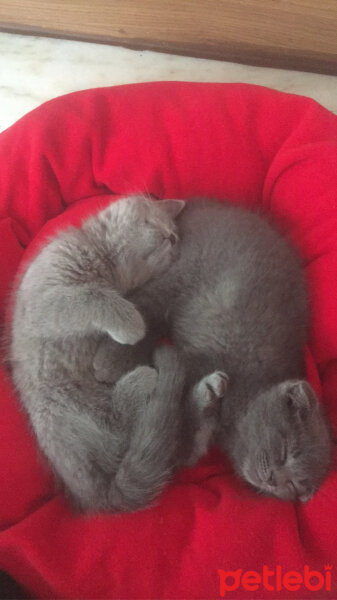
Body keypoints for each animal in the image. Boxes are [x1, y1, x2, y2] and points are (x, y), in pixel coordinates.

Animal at [11, 196, 218, 510]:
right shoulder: (45, 300)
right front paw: (132, 324)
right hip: (60, 404)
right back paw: (147, 377)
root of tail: (93, 495)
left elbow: (95, 295)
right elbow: (90, 296)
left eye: (174, 234)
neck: (101, 262)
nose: (171, 237)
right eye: (153, 221)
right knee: (121, 428)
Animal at [94, 198, 330, 502]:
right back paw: (110, 360)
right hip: (182, 271)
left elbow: (182, 448)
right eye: (284, 450)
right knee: (146, 308)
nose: (273, 481)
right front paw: (205, 393)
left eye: (296, 487)